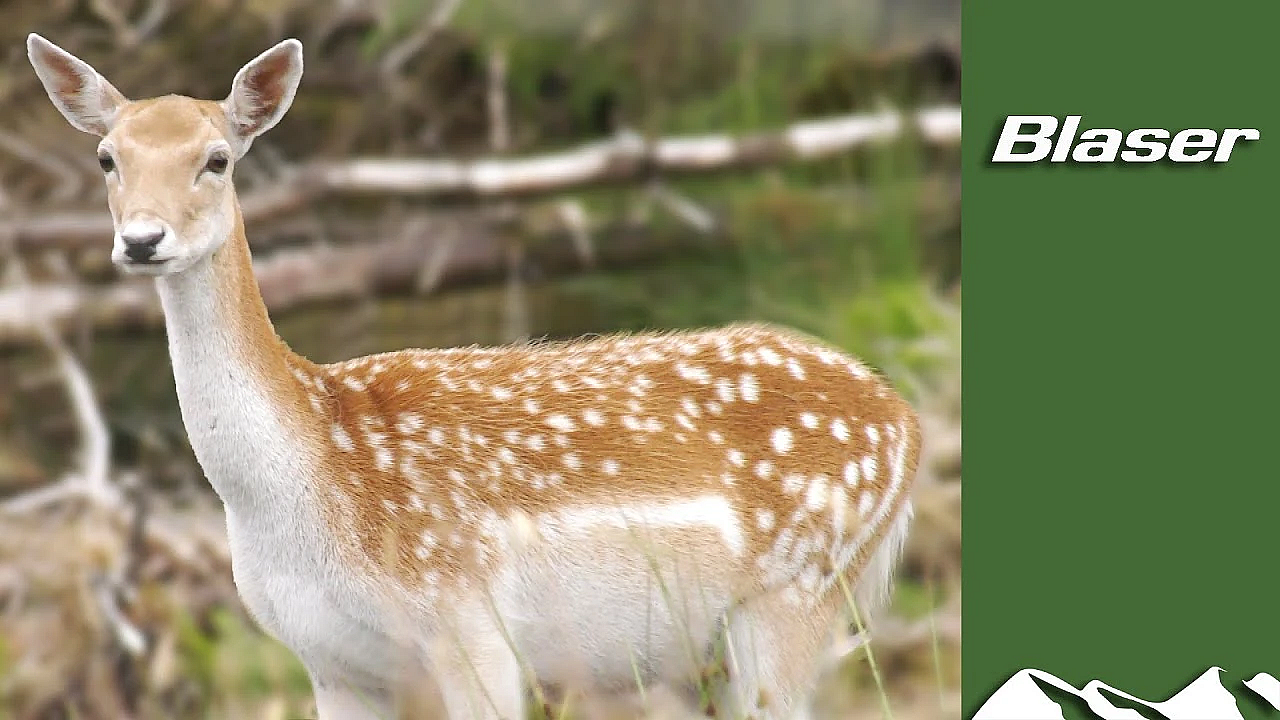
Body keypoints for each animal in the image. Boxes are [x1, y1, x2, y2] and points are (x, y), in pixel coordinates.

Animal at [27, 34, 921, 720]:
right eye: (107, 157)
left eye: (216, 158)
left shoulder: (472, 623)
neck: (304, 482)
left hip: (795, 595)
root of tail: (907, 424)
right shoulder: (330, 661)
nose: (142, 240)